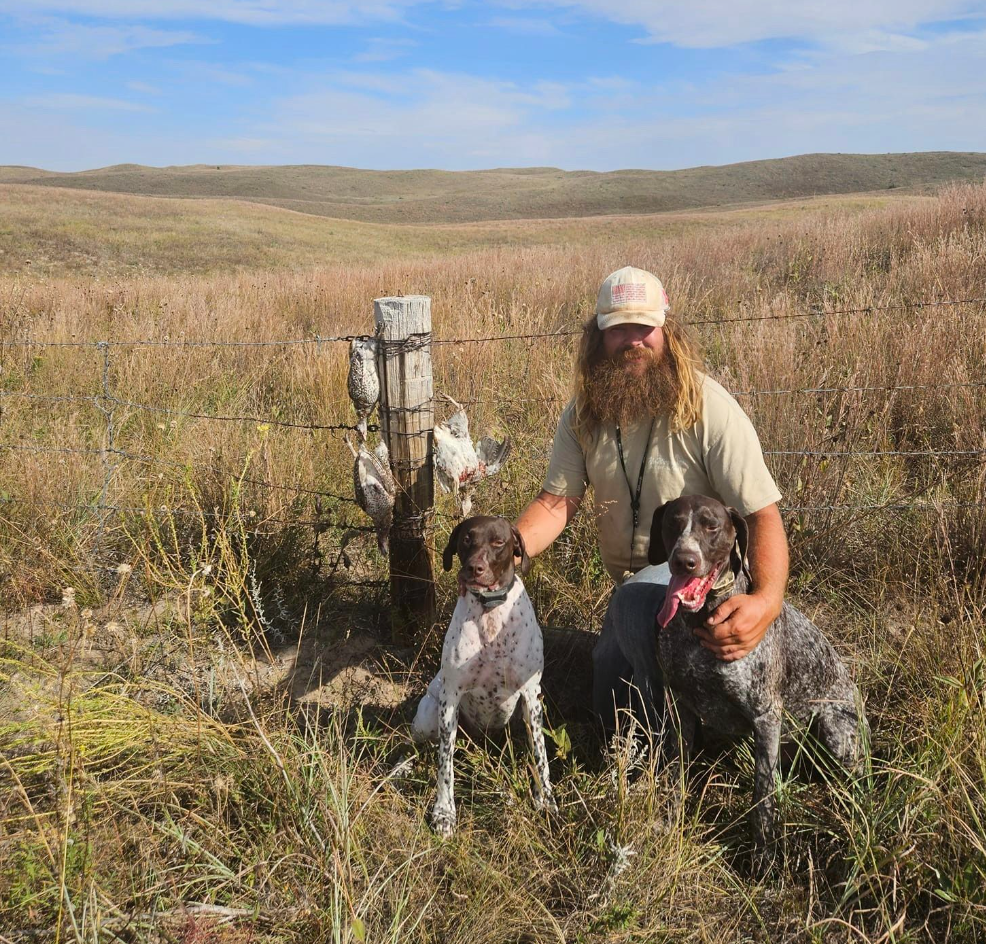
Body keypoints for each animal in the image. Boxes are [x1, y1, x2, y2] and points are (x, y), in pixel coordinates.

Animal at [412, 520, 556, 836]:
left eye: (499, 542)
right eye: (467, 539)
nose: (474, 569)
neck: (490, 613)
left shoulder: (531, 695)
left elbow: (540, 755)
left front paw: (545, 798)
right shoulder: (450, 699)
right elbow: (445, 765)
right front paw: (444, 812)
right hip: (427, 720)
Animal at [648, 502, 864, 864]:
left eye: (711, 526)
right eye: (672, 523)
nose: (684, 560)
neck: (699, 623)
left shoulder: (766, 717)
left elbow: (762, 795)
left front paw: (763, 855)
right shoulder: (679, 706)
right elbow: (676, 773)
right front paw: (669, 819)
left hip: (835, 730)